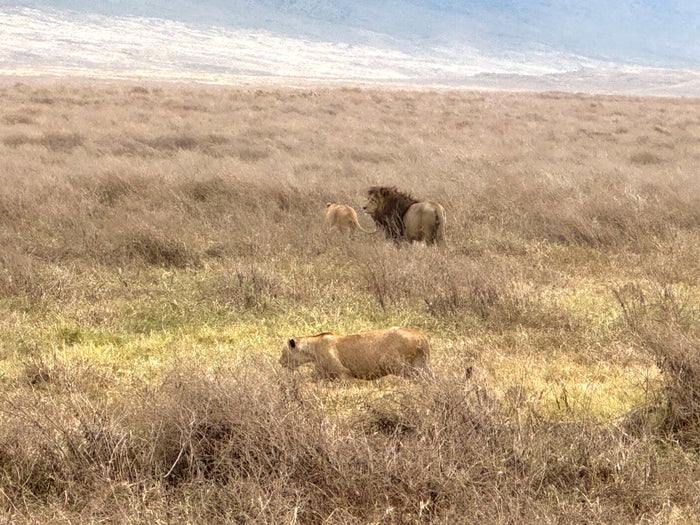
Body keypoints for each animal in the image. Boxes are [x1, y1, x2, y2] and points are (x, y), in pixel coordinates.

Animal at [279, 326, 431, 380]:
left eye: (283, 352)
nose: (280, 362)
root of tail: (420, 335)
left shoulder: (344, 372)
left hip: (397, 365)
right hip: (422, 364)